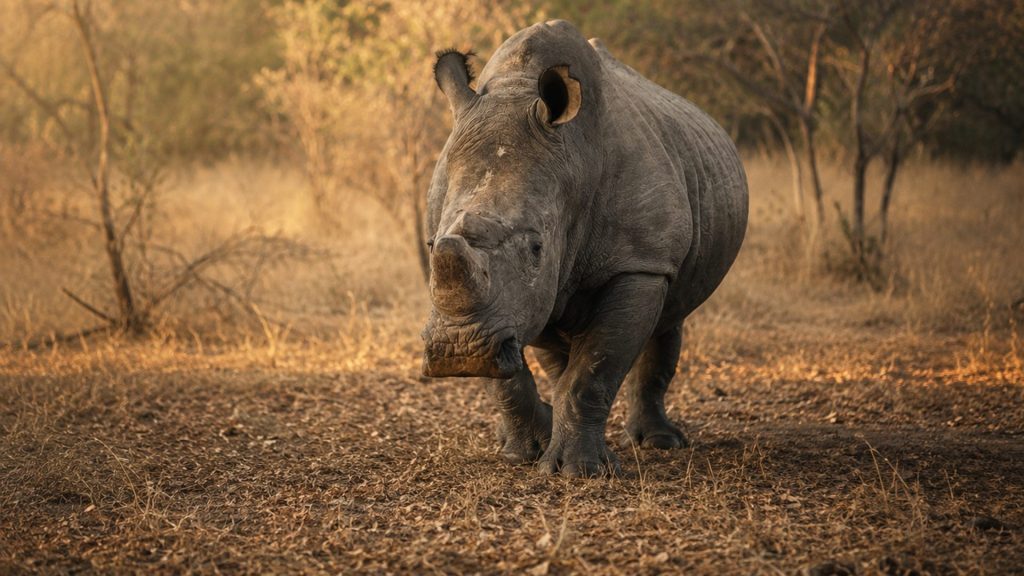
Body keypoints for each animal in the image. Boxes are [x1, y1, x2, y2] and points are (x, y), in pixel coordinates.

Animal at [422, 20, 748, 477]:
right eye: (431, 244)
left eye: (537, 248)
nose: (457, 349)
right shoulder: (515, 302)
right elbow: (514, 370)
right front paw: (524, 453)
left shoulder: (640, 263)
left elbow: (595, 366)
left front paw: (581, 472)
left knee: (669, 320)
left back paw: (661, 443)